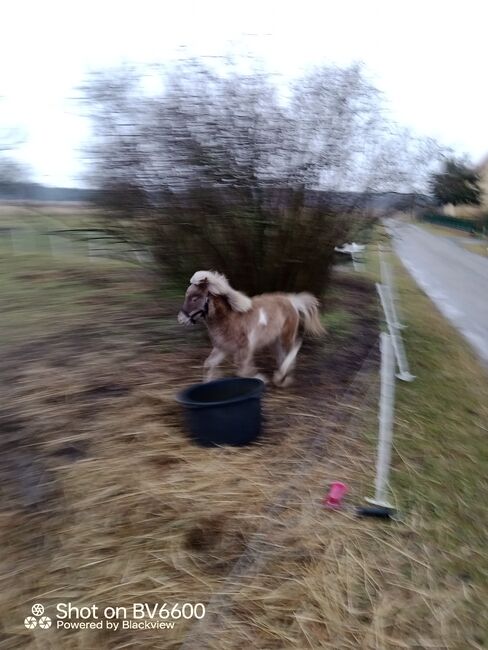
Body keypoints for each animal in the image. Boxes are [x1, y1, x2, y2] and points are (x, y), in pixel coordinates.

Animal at [176, 270, 324, 384]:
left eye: (195, 298)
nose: (181, 319)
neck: (230, 319)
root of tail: (291, 301)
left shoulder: (244, 350)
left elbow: (244, 371)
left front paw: (261, 378)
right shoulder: (222, 348)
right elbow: (208, 364)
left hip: (286, 335)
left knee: (295, 346)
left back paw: (281, 375)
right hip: (274, 340)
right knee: (282, 354)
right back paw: (283, 376)